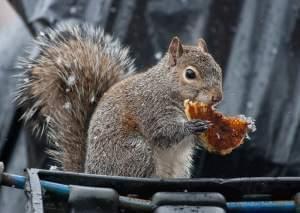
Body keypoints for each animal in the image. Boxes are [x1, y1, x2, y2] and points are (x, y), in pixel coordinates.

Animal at [16, 23, 223, 178]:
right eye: (190, 74)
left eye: (218, 68)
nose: (218, 97)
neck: (168, 87)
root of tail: (91, 172)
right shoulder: (151, 108)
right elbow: (163, 132)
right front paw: (191, 126)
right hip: (136, 153)